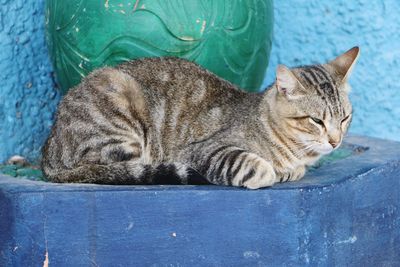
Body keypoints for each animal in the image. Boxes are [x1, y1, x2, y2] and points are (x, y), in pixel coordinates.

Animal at [41, 47, 360, 191]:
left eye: (345, 118)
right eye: (317, 121)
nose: (335, 141)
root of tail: (48, 156)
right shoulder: (201, 151)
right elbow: (252, 166)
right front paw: (270, 171)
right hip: (119, 106)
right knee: (118, 170)